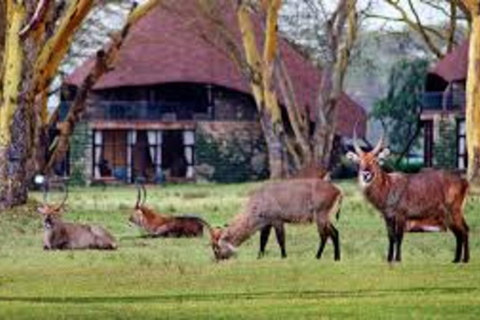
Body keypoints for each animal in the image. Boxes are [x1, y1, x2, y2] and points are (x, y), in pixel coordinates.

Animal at [212, 179, 344, 262]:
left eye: (216, 248)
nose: (217, 260)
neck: (259, 201)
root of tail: (337, 190)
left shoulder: (277, 221)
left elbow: (280, 240)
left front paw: (284, 256)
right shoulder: (267, 224)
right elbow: (263, 241)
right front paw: (259, 258)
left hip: (320, 216)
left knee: (325, 235)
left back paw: (317, 256)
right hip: (325, 218)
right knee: (335, 232)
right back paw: (337, 258)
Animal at [346, 129, 470, 264]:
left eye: (374, 160)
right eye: (359, 162)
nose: (366, 174)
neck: (388, 187)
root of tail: (464, 181)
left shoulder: (401, 215)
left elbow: (399, 236)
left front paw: (398, 259)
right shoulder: (388, 216)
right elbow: (391, 237)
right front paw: (389, 259)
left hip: (454, 210)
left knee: (464, 230)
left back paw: (465, 259)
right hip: (449, 215)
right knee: (459, 232)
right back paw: (456, 260)